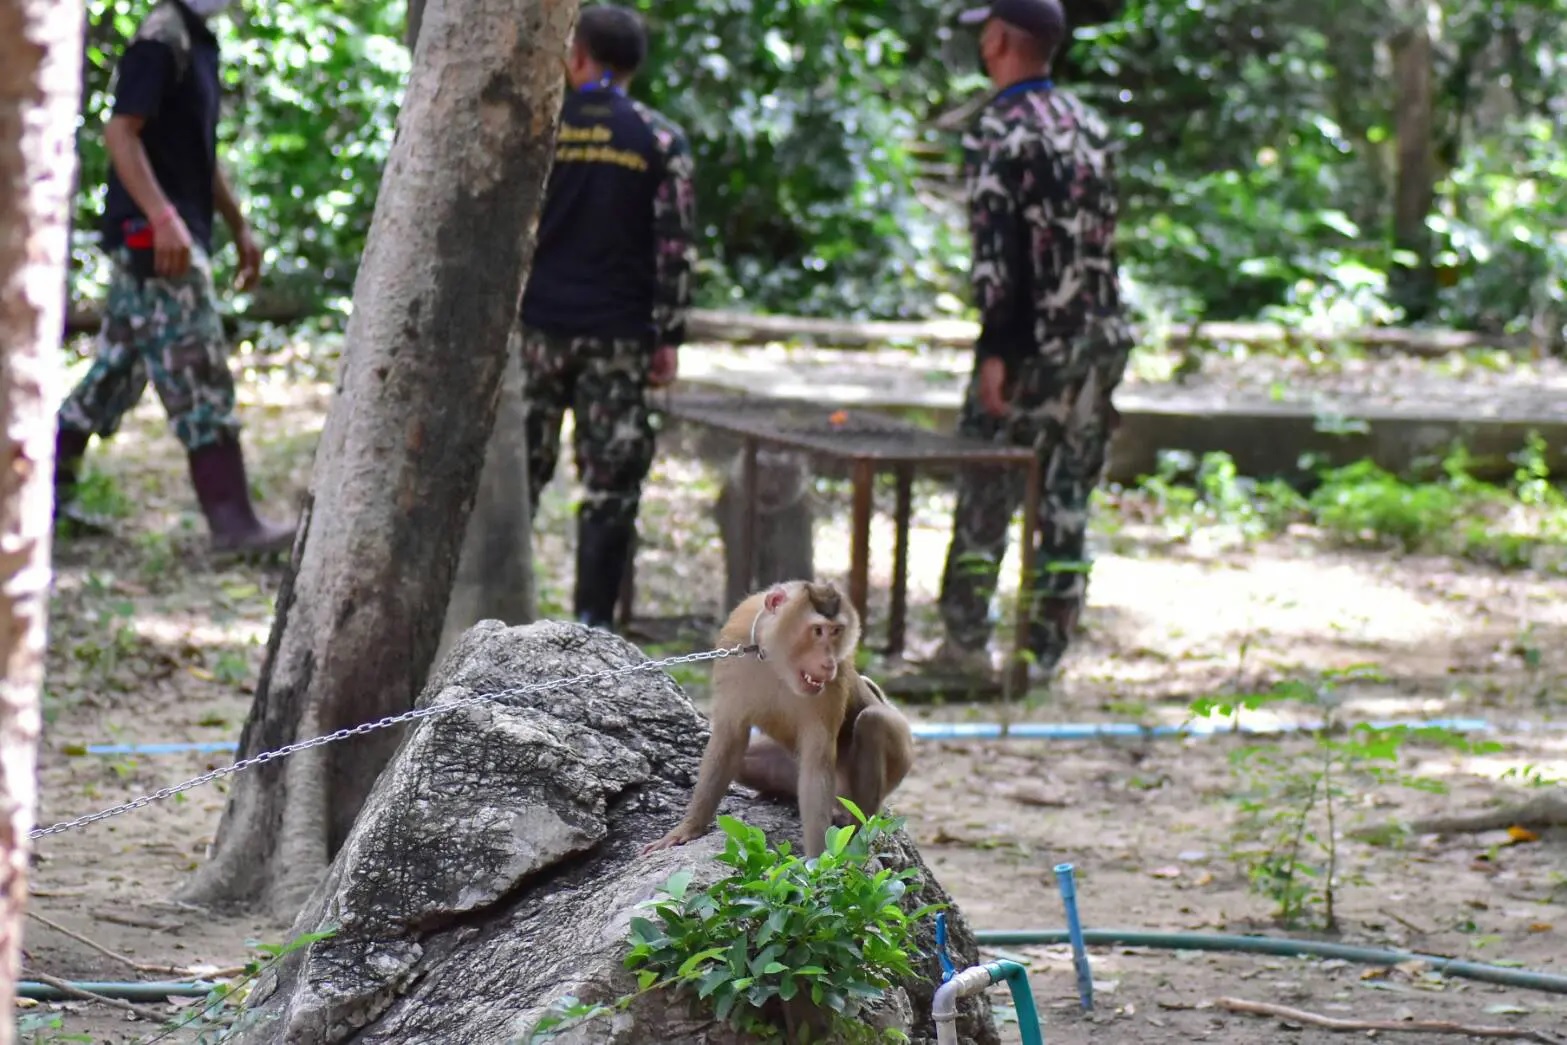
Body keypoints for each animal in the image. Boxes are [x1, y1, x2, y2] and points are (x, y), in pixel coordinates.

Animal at [639, 579, 915, 858]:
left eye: (836, 631)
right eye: (817, 631)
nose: (828, 663)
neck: (774, 663)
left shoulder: (831, 688)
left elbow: (816, 766)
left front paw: (819, 862)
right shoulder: (734, 644)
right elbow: (729, 738)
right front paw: (689, 827)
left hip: (900, 755)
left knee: (874, 721)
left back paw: (858, 830)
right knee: (744, 762)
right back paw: (778, 795)